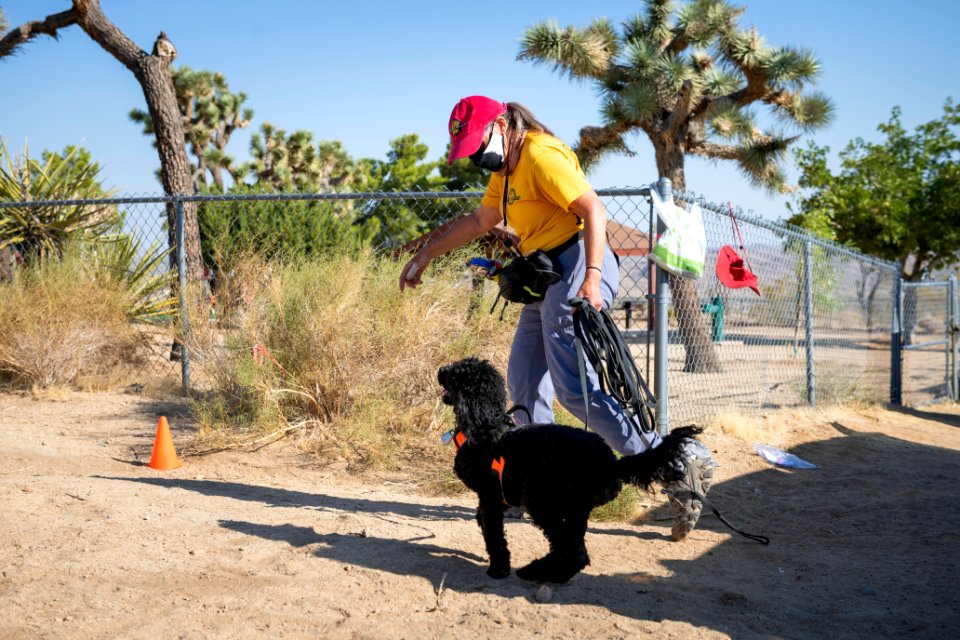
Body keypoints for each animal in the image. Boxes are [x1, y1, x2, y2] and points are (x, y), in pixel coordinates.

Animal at [438, 358, 700, 584]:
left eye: (456, 373)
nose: (441, 369)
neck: (487, 426)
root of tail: (610, 463)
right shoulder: (502, 495)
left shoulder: (490, 497)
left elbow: (494, 537)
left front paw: (498, 569)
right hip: (575, 510)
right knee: (576, 551)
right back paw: (551, 573)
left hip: (542, 501)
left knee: (572, 551)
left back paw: (534, 571)